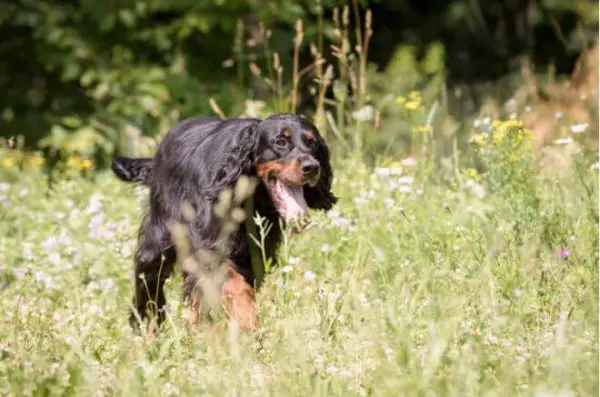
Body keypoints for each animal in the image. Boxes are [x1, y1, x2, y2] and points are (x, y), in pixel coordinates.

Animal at [111, 113, 338, 332]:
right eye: (280, 142)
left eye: (312, 143)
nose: (312, 167)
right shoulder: (211, 249)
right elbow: (235, 286)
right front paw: (247, 320)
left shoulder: (253, 255)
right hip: (160, 238)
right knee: (149, 279)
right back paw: (149, 330)